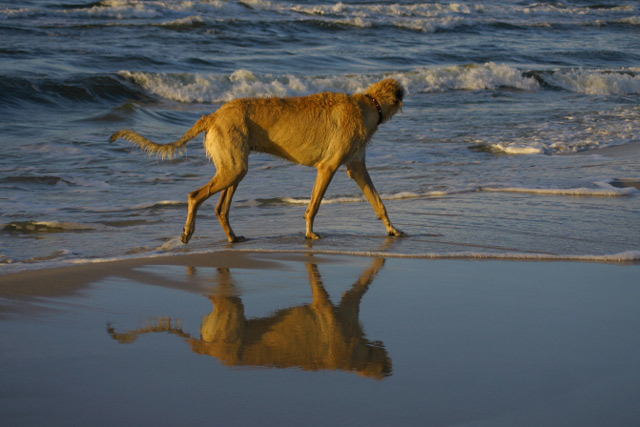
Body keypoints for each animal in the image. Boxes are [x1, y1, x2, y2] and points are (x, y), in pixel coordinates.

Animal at [107, 78, 402, 242]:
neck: (368, 104)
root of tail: (213, 115)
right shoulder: (327, 168)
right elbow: (314, 206)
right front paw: (309, 233)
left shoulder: (357, 167)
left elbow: (379, 203)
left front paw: (393, 230)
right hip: (234, 169)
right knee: (194, 196)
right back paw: (188, 233)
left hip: (234, 169)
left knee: (220, 208)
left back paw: (233, 238)